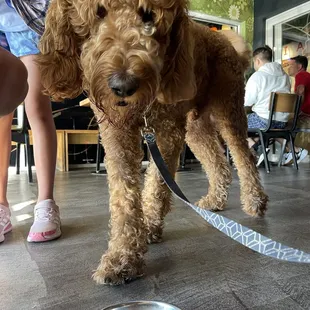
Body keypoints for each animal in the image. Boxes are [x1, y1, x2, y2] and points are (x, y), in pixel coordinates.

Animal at [37, 0, 268, 286]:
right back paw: (216, 199)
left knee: (244, 157)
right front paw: (123, 257)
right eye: (98, 12)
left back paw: (255, 201)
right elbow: (123, 195)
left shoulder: (167, 131)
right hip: (195, 127)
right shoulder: (117, 133)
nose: (123, 86)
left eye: (149, 15)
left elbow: (157, 186)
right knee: (218, 164)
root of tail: (224, 40)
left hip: (228, 110)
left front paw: (148, 227)